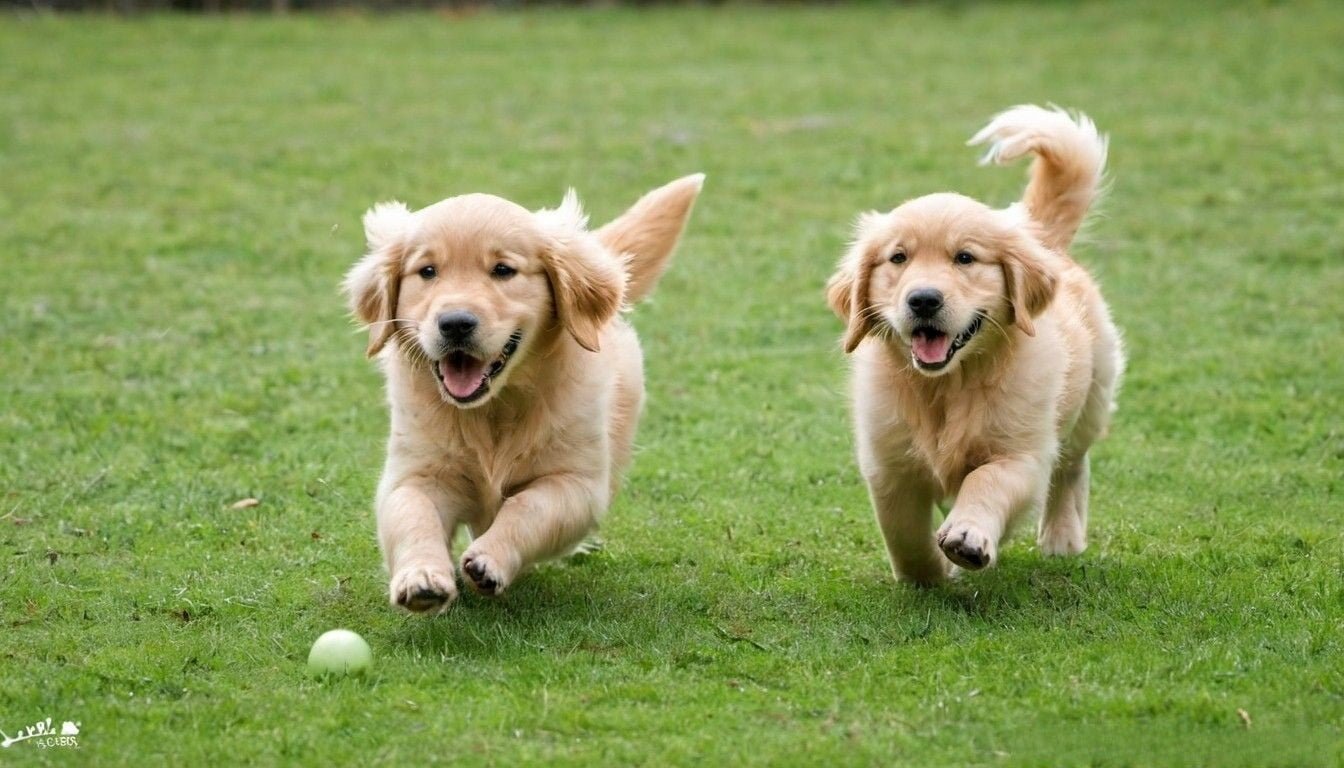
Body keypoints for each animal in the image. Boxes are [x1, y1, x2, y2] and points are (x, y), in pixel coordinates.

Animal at [344, 174, 704, 613]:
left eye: (503, 270)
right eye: (427, 271)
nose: (455, 323)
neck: (493, 410)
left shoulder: (576, 483)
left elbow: (528, 507)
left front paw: (489, 558)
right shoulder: (415, 473)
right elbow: (414, 516)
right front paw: (421, 577)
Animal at [827, 103, 1123, 583]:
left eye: (965, 258)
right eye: (898, 258)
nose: (923, 300)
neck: (948, 384)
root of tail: (1040, 238)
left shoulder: (1022, 455)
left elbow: (985, 481)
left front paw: (966, 538)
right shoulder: (889, 464)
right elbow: (903, 533)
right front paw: (928, 577)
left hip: (1092, 396)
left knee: (1072, 464)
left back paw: (1061, 536)